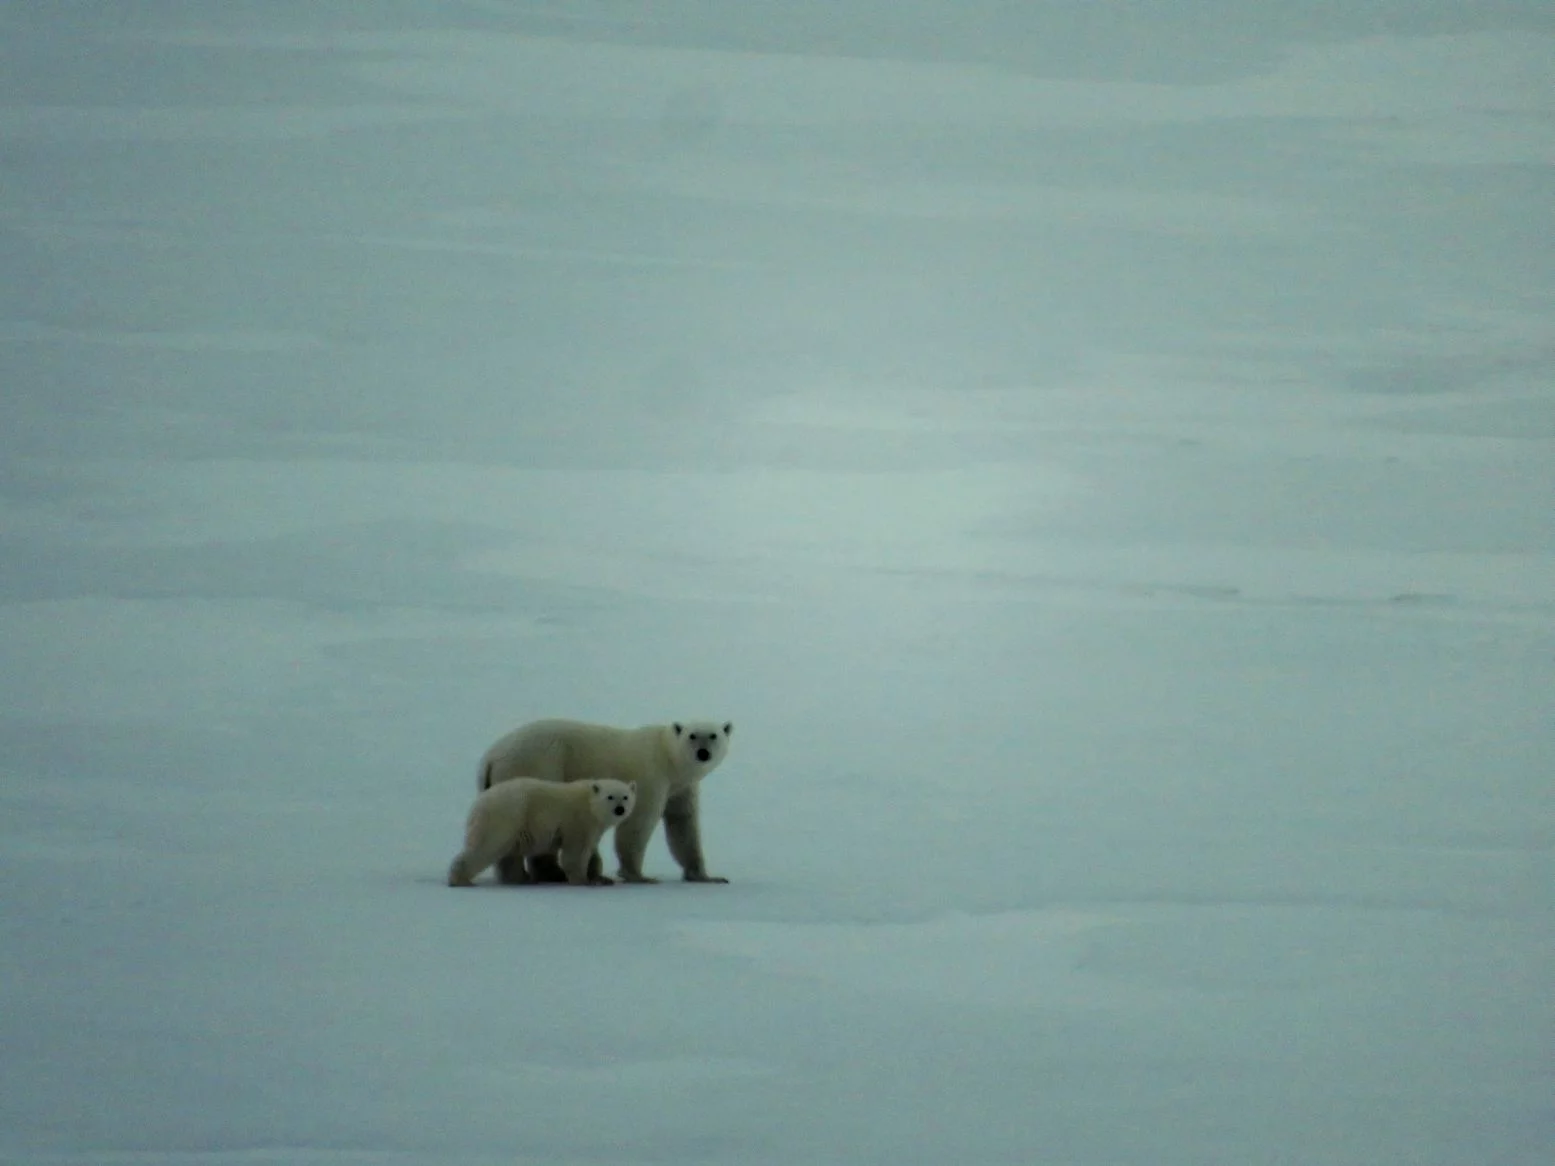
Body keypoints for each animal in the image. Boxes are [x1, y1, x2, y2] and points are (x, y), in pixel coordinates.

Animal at [447, 777, 637, 887]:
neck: (589, 801)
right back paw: (460, 880)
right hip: (505, 817)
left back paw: (520, 879)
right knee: (487, 846)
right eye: (610, 797)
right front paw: (584, 880)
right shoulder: (577, 821)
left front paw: (600, 879)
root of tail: (478, 804)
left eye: (626, 796)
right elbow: (576, 851)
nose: (620, 809)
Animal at [476, 718, 732, 885]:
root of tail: (491, 757)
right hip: (538, 763)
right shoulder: (651, 776)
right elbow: (638, 822)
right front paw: (638, 875)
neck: (668, 758)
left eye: (713, 735)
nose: (703, 753)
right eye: (692, 735)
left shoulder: (681, 788)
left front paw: (706, 876)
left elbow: (683, 824)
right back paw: (544, 874)